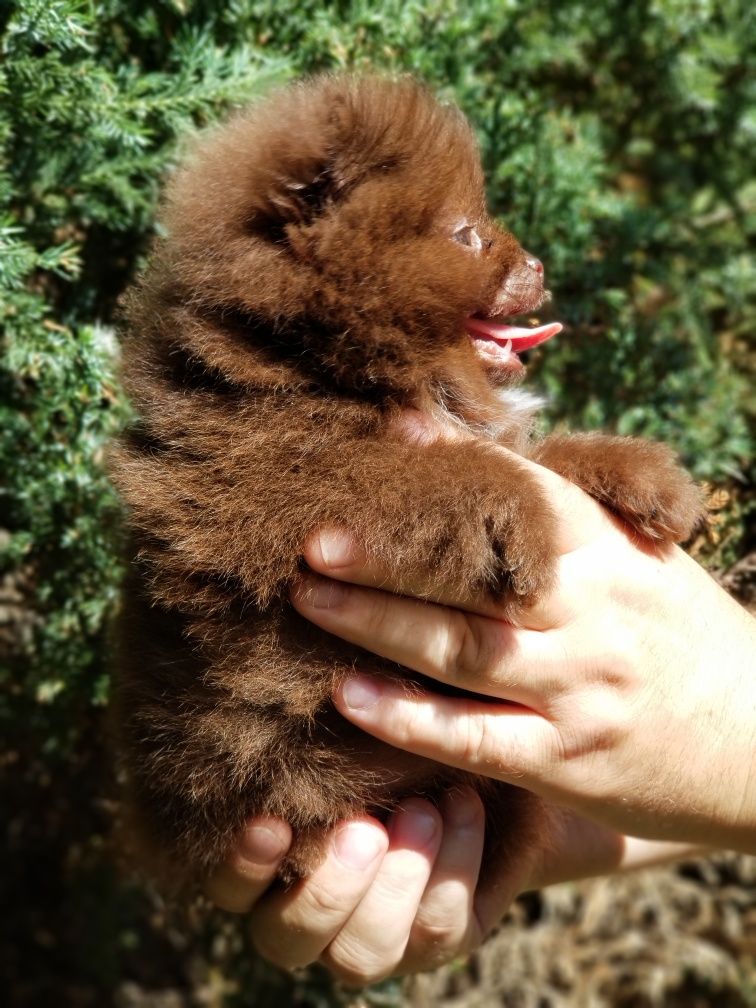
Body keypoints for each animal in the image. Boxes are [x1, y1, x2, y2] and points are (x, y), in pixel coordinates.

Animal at [112, 74, 705, 895]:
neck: (322, 365)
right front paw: (524, 526)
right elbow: (436, 471)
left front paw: (646, 476)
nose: (540, 264)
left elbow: (538, 451)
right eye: (465, 234)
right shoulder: (265, 484)